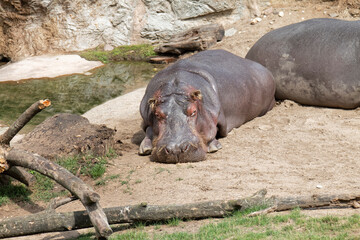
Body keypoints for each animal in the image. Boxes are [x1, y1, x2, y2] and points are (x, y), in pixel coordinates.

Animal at [139, 50, 274, 164]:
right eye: (157, 114)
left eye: (193, 112)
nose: (176, 149)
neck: (175, 87)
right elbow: (148, 129)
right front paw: (144, 148)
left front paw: (214, 146)